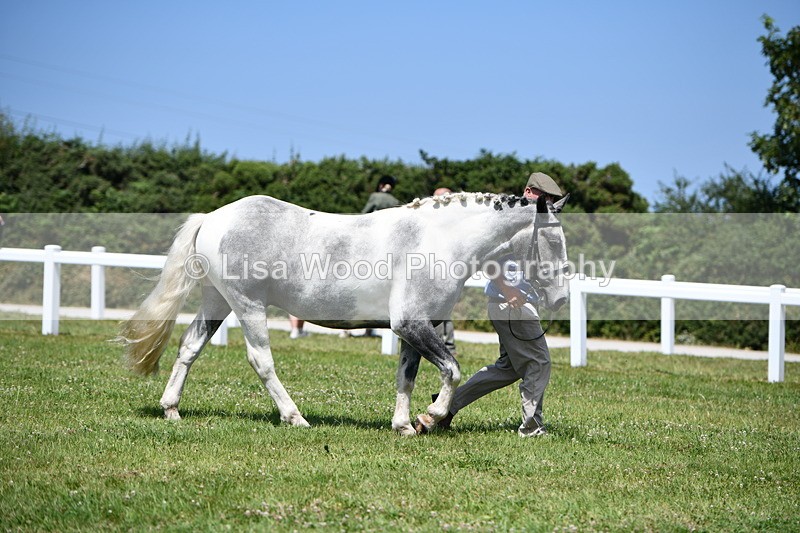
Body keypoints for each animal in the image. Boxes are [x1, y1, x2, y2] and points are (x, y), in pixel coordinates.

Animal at [118, 191, 570, 435]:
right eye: (552, 239)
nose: (561, 298)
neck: (441, 239)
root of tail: (214, 217)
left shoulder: (414, 327)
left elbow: (407, 376)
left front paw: (404, 426)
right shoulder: (410, 322)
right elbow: (452, 370)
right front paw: (431, 417)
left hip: (217, 301)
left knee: (189, 347)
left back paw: (171, 409)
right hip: (247, 305)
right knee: (260, 359)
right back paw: (295, 417)